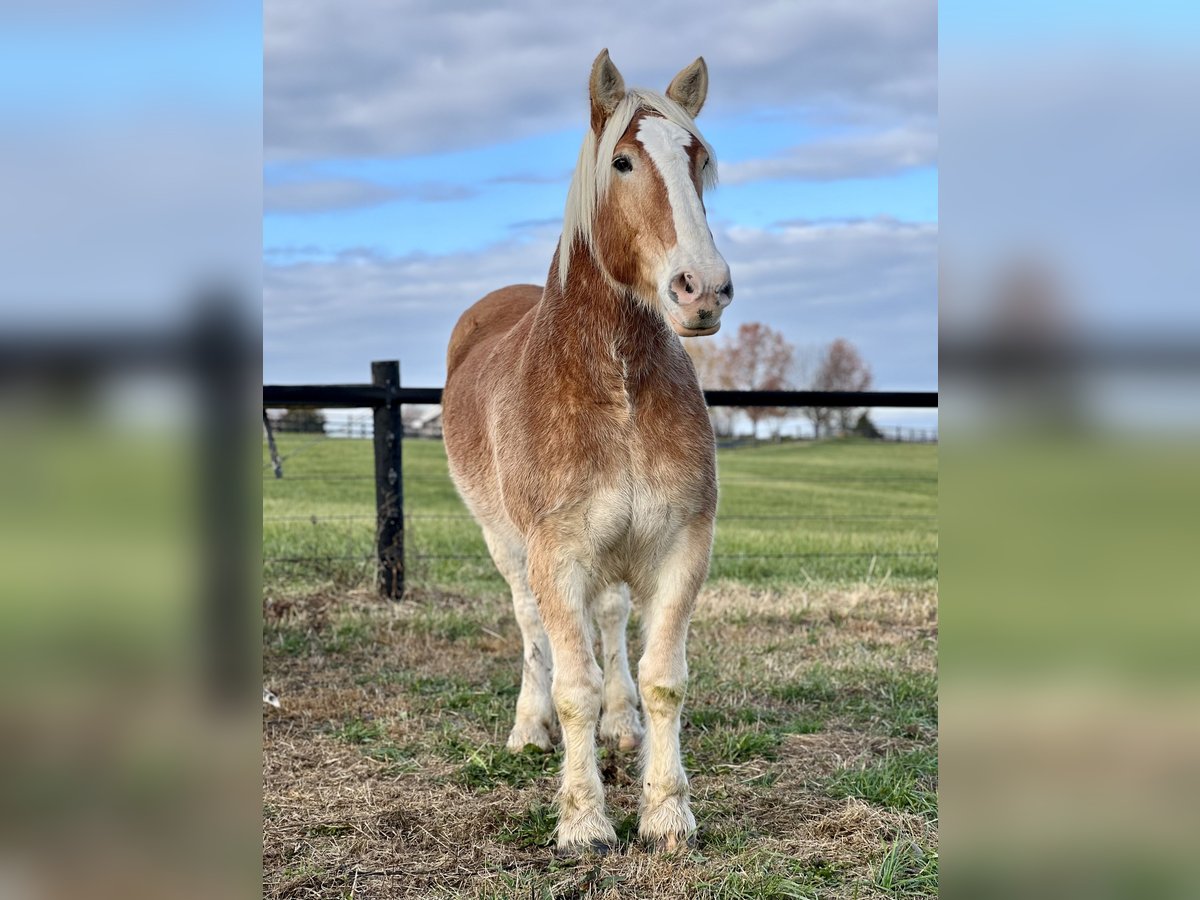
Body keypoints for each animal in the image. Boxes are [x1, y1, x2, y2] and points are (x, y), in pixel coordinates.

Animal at [441, 51, 729, 859]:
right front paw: (584, 821)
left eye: (698, 160)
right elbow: (574, 684)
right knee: (534, 636)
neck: (616, 385)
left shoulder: (680, 544)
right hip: (508, 546)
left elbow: (663, 677)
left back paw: (622, 727)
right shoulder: (557, 553)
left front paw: (666, 813)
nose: (702, 290)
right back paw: (528, 729)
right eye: (623, 162)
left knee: (611, 626)